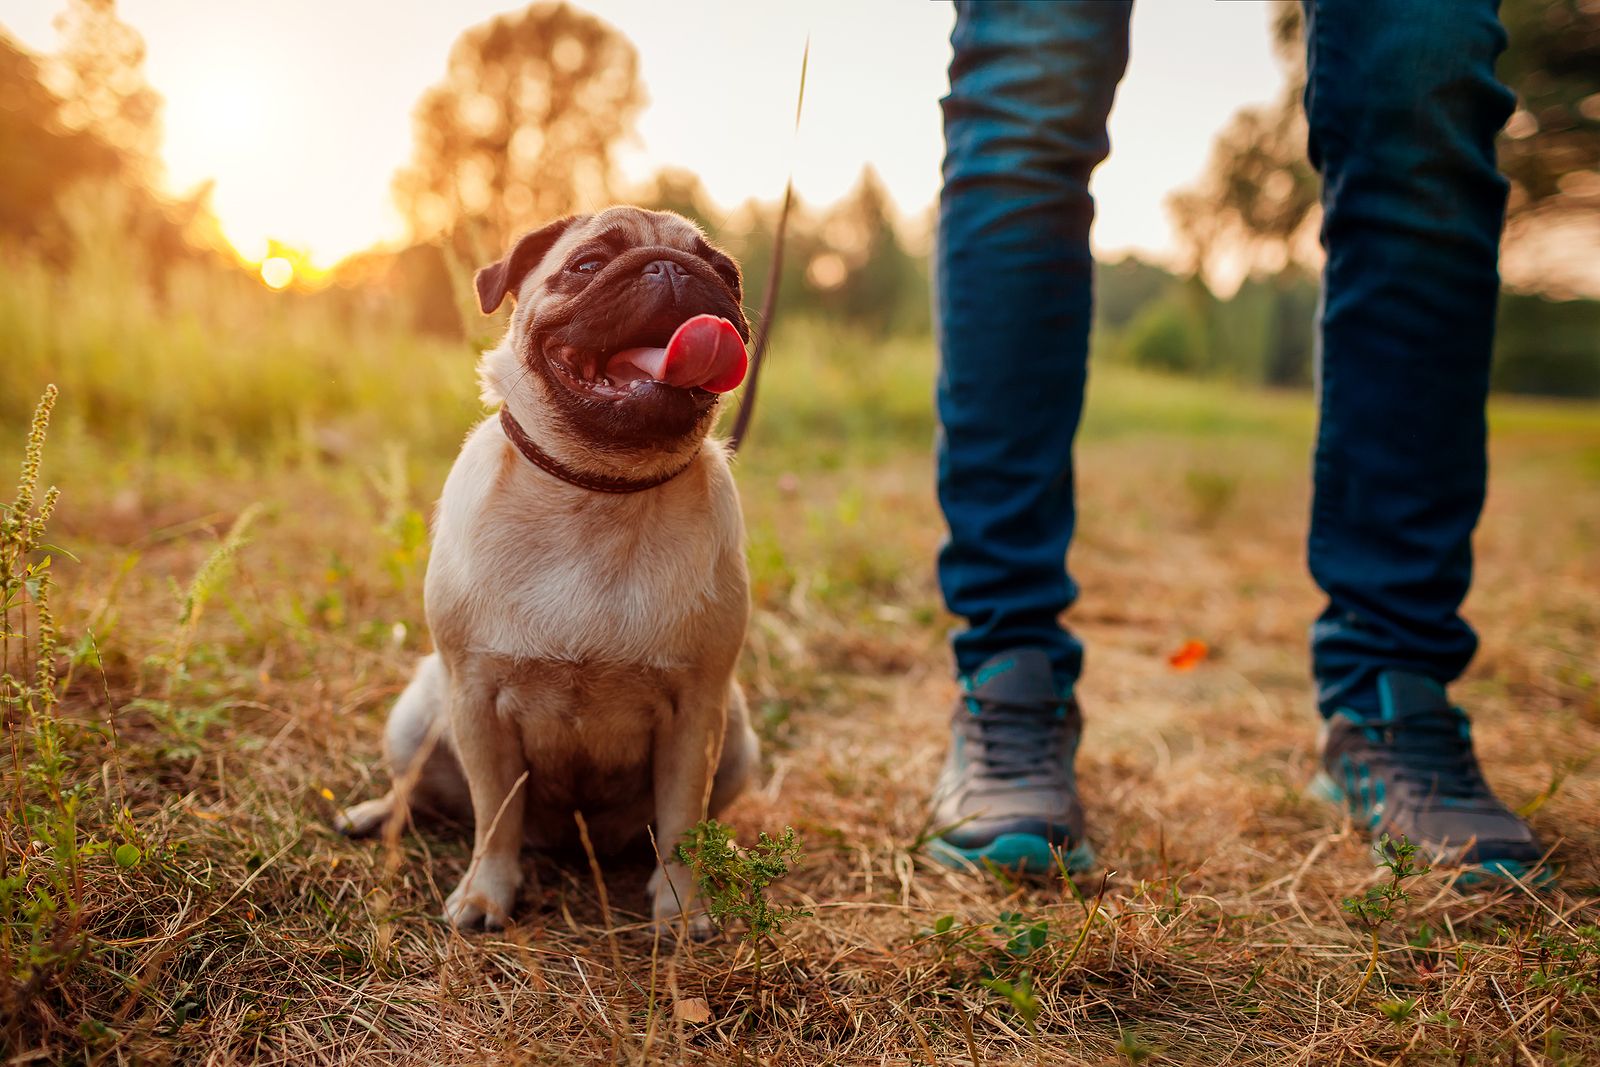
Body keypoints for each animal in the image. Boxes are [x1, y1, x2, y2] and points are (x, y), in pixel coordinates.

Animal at [334, 206, 758, 934]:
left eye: (725, 274)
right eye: (588, 264)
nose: (673, 269)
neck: (599, 489)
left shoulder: (697, 711)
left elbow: (681, 818)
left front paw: (682, 906)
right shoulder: (476, 699)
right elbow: (495, 814)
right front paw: (485, 895)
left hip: (735, 736)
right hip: (416, 715)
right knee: (418, 790)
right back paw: (377, 813)